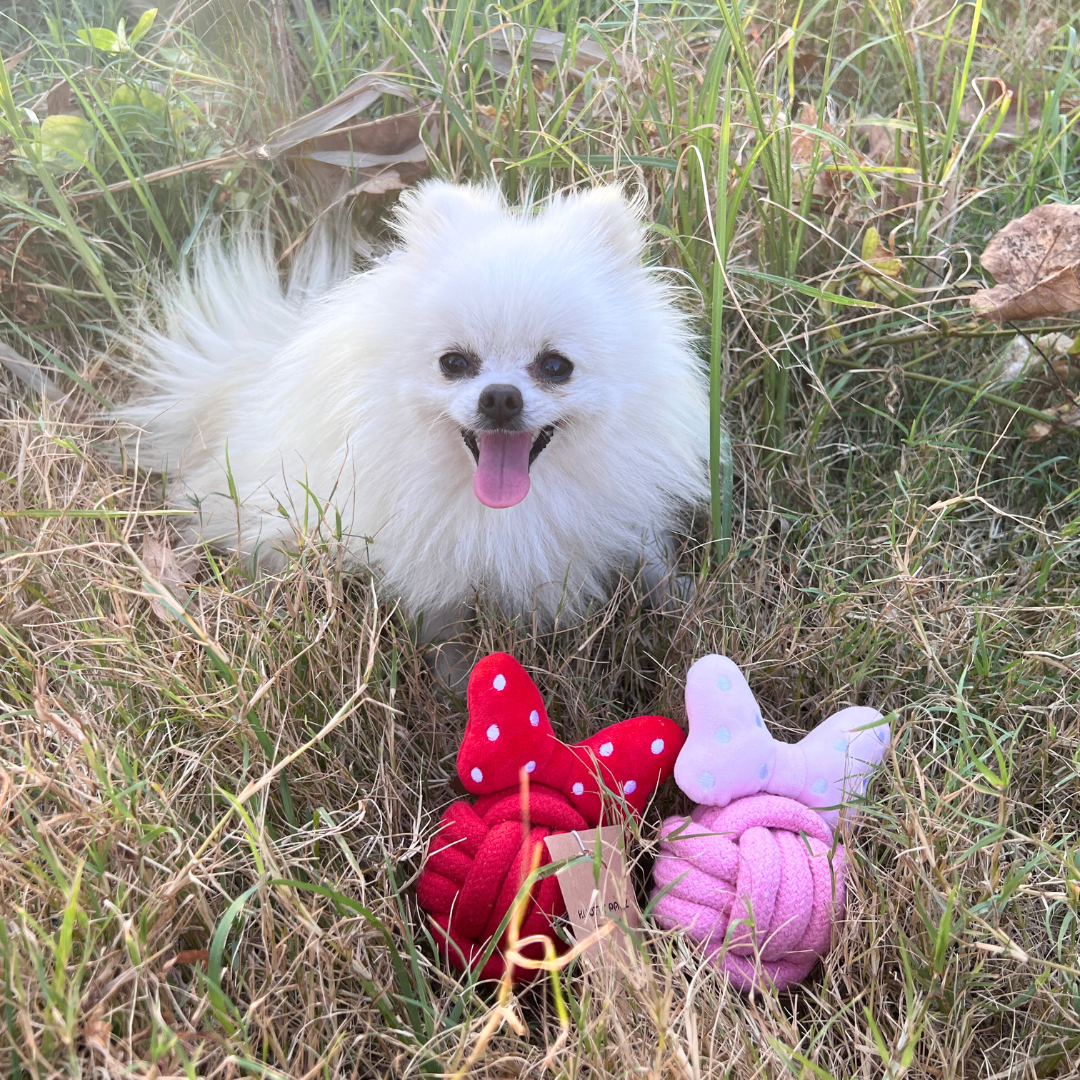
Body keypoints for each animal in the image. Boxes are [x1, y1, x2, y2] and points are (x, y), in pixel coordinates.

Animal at [120, 182, 708, 635]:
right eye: (454, 363)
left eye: (556, 366)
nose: (500, 397)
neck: (509, 509)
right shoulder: (428, 571)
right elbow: (443, 636)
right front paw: (455, 689)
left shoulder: (625, 519)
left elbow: (650, 562)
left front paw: (683, 600)